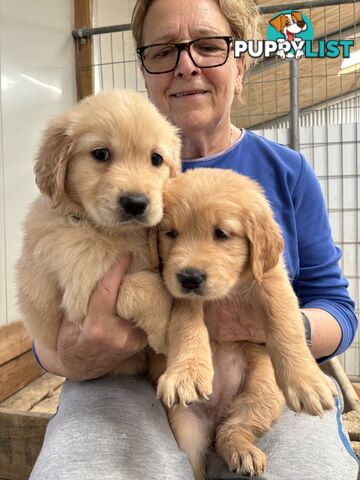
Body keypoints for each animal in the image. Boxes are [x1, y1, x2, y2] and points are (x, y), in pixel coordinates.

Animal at [15, 90, 181, 376]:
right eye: (101, 154)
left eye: (156, 159)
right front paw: (163, 335)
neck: (109, 232)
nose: (136, 203)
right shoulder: (82, 288)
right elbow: (144, 285)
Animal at [155, 167, 338, 478]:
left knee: (233, 429)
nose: (189, 278)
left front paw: (307, 382)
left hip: (263, 392)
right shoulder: (179, 293)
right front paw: (185, 375)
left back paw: (243, 452)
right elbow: (187, 326)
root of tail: (217, 412)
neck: (231, 288)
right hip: (186, 427)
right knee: (199, 457)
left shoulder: (272, 280)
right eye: (171, 233)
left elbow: (285, 323)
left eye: (221, 234)